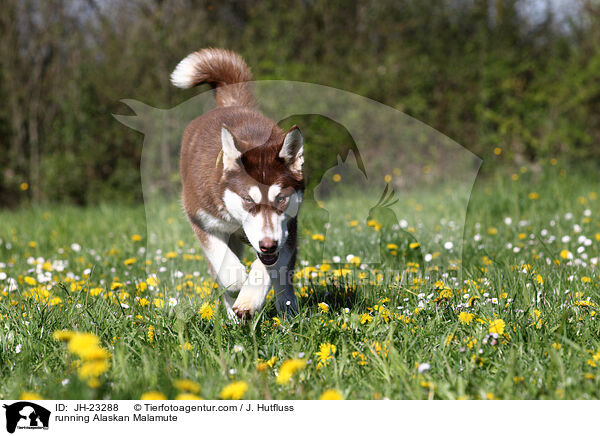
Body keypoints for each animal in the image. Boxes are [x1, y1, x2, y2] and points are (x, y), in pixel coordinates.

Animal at [172, 48, 304, 320]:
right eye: (247, 199)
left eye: (281, 198)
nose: (267, 245)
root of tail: (232, 105)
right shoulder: (202, 220)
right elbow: (227, 271)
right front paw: (238, 284)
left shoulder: (287, 231)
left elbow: (270, 267)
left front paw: (249, 297)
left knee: (284, 282)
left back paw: (287, 312)